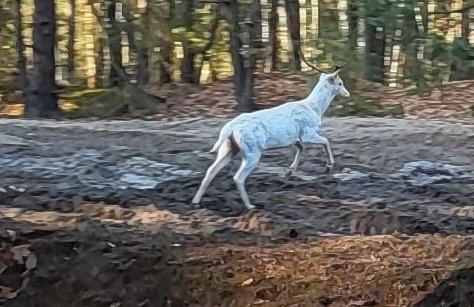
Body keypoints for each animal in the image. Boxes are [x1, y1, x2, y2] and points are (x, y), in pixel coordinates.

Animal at [191, 64, 350, 209]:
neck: (316, 110)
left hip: (229, 148)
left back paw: (196, 201)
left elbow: (301, 148)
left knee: (211, 171)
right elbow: (325, 141)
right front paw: (329, 165)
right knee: (238, 177)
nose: (347, 93)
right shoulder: (308, 132)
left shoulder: (294, 138)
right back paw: (250, 206)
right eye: (340, 83)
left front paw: (290, 171)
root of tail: (230, 129)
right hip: (252, 150)